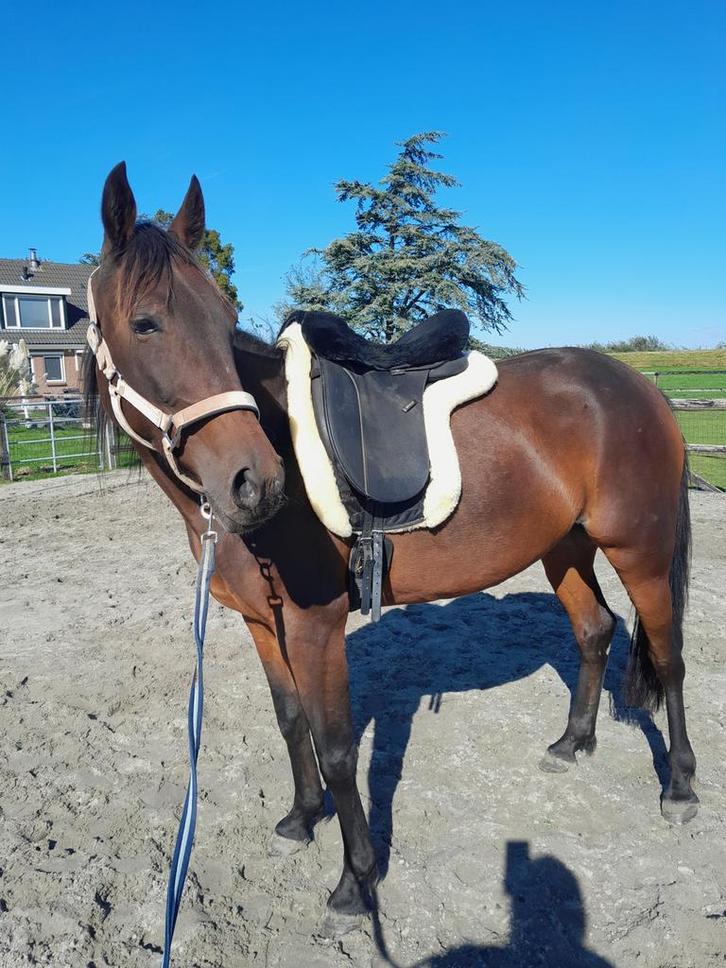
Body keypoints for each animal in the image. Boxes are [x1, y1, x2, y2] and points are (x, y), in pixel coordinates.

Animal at [85, 162, 697, 938]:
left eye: (225, 324)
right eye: (145, 322)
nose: (256, 482)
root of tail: (639, 386)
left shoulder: (314, 626)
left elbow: (339, 747)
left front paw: (355, 881)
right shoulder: (262, 622)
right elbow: (291, 723)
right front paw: (300, 818)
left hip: (639, 549)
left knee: (668, 656)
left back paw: (679, 787)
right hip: (565, 548)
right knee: (595, 631)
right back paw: (572, 744)